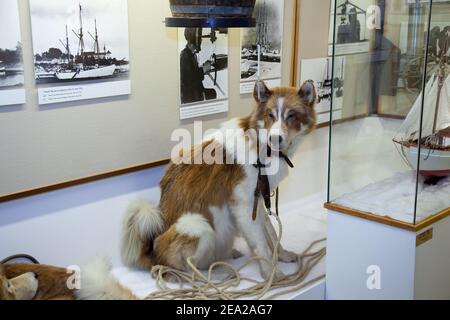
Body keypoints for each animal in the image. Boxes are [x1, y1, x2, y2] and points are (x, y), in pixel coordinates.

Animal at [119, 80, 316, 280]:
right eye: (270, 115)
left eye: (291, 116)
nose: (275, 138)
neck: (260, 146)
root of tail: (150, 253)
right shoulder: (243, 204)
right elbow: (261, 245)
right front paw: (271, 273)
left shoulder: (258, 200)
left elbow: (271, 233)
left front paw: (282, 255)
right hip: (199, 225)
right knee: (185, 268)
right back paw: (215, 277)